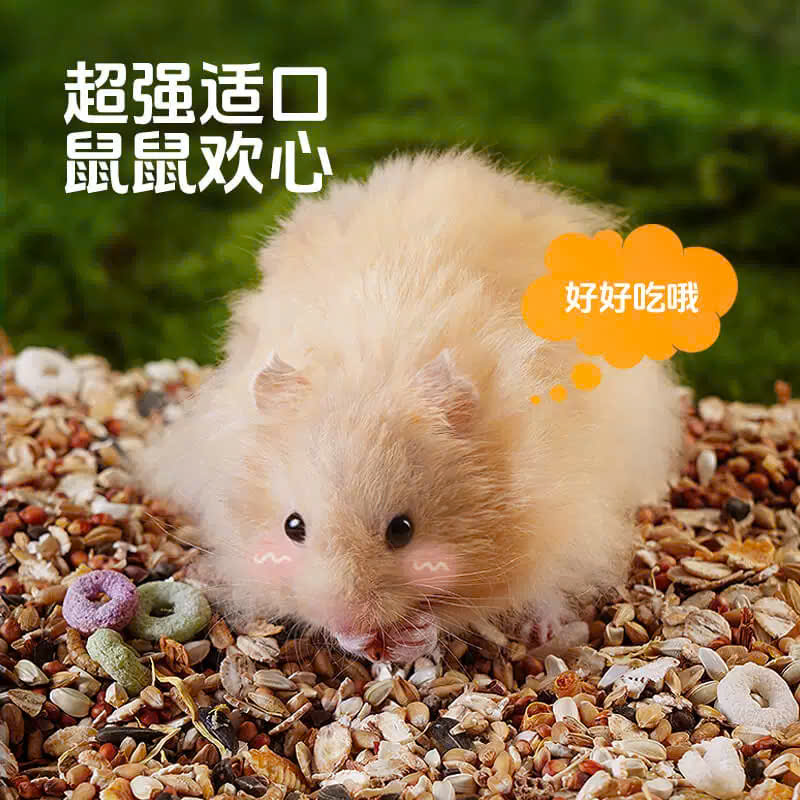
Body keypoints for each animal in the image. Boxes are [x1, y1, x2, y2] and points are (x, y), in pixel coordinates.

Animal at [134, 151, 682, 663]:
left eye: (403, 531)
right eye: (293, 527)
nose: (352, 621)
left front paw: (413, 635)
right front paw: (356, 641)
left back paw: (539, 631)